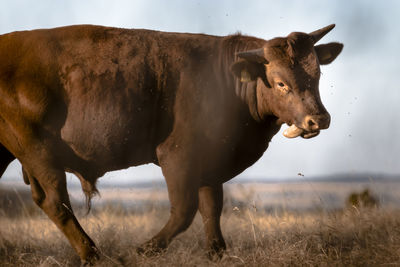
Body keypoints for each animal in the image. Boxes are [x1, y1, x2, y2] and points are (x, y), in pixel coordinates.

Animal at [0, 24, 342, 264]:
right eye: (281, 83)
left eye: (317, 75)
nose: (318, 120)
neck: (225, 83)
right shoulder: (179, 158)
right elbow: (184, 211)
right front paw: (141, 250)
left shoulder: (210, 162)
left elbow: (211, 208)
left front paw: (216, 252)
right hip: (37, 152)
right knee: (55, 202)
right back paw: (93, 254)